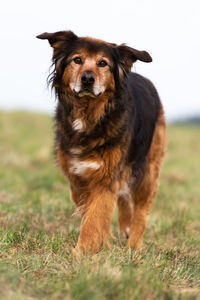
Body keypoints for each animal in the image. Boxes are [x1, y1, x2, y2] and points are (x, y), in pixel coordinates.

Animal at [36, 30, 166, 254]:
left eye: (103, 63)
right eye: (77, 60)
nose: (88, 79)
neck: (88, 113)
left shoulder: (106, 178)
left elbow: (95, 217)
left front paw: (81, 253)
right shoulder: (77, 177)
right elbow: (93, 213)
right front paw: (100, 245)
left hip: (149, 168)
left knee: (141, 210)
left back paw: (134, 247)